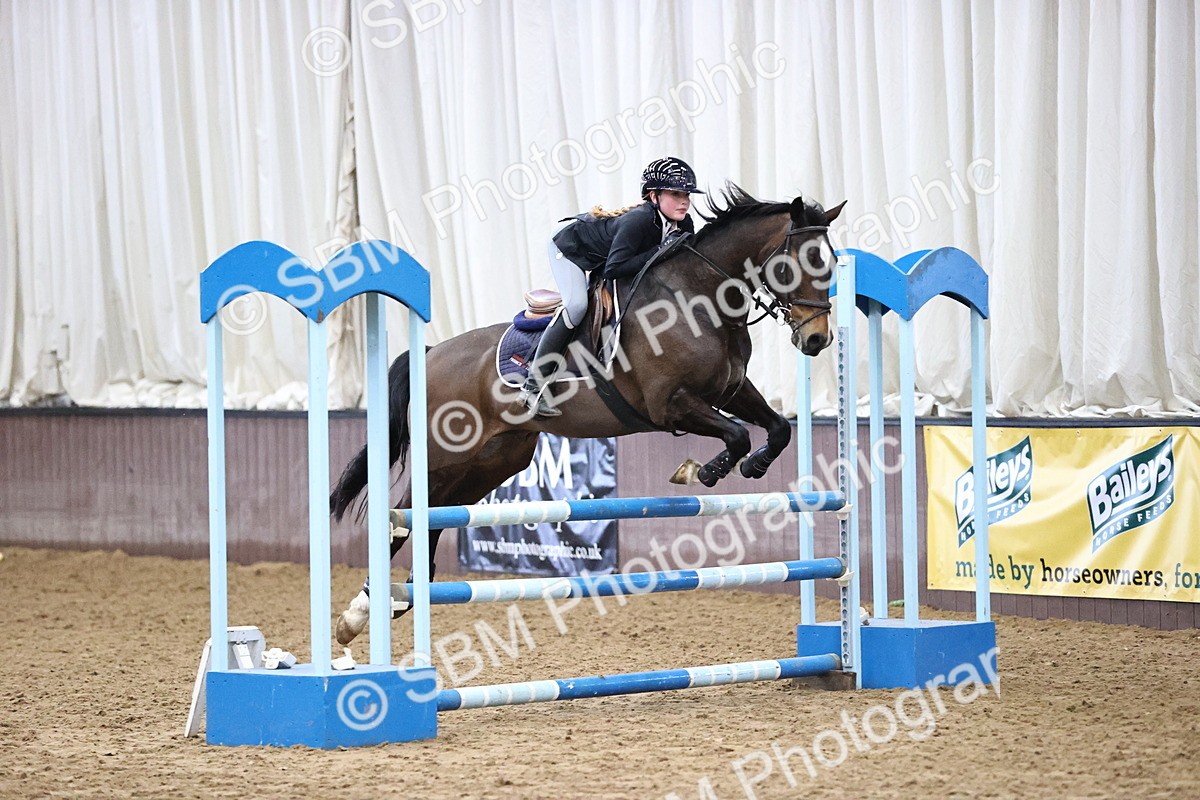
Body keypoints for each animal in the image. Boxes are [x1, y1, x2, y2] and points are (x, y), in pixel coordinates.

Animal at [329, 184, 845, 644]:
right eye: (799, 262)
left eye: (833, 263)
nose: (817, 340)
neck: (700, 298)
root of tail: (432, 352)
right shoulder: (669, 404)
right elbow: (736, 435)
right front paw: (703, 471)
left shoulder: (731, 390)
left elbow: (777, 428)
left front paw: (753, 465)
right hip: (444, 454)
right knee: (404, 511)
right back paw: (358, 613)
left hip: (494, 460)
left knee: (438, 512)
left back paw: (402, 597)